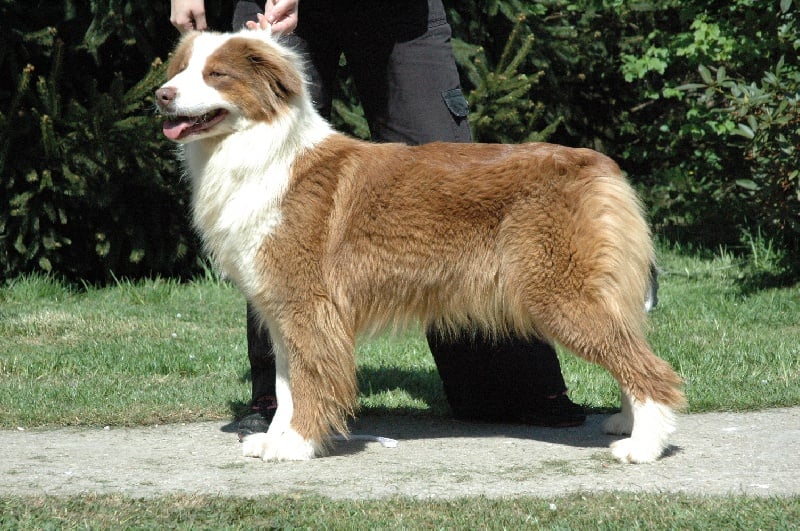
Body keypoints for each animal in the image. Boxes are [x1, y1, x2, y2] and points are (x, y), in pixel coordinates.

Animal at [158, 27, 688, 464]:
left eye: (217, 75)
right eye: (180, 69)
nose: (162, 94)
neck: (261, 152)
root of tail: (599, 164)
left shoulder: (308, 306)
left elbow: (309, 382)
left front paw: (299, 445)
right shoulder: (281, 309)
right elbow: (288, 386)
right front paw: (276, 439)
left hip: (559, 293)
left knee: (652, 367)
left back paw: (644, 446)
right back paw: (627, 424)